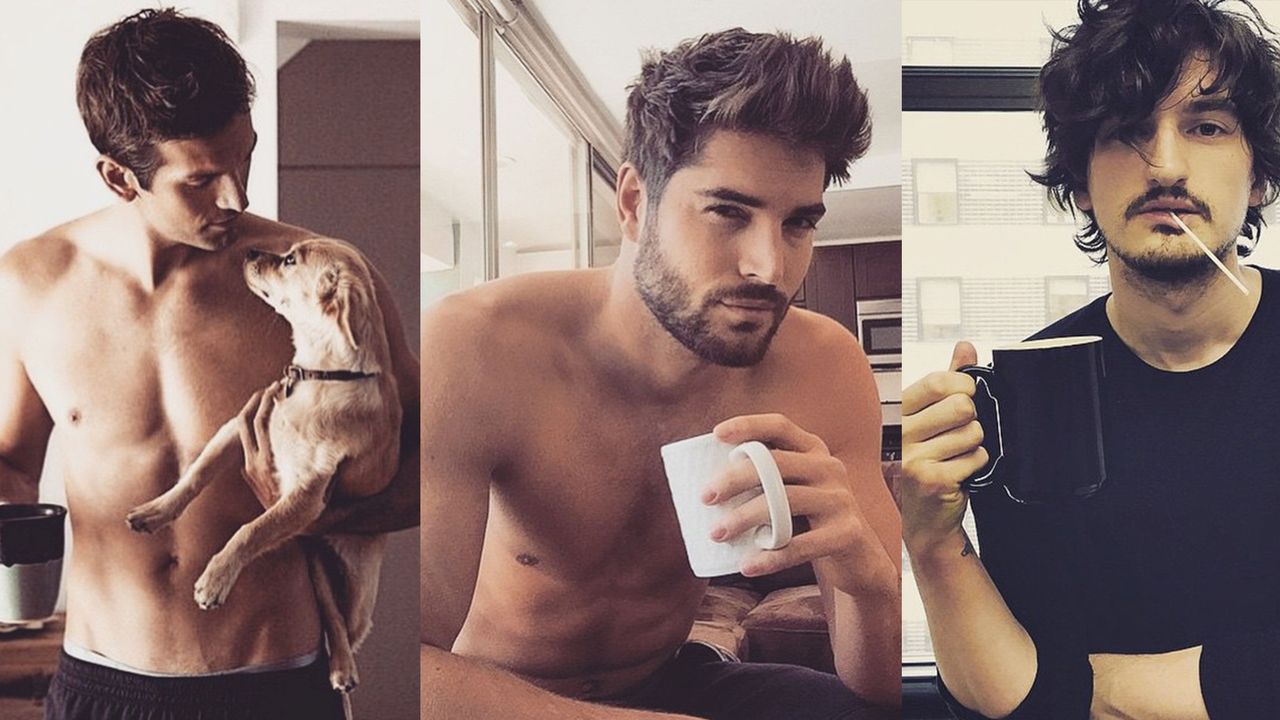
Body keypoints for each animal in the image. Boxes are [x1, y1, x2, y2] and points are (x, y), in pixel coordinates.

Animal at [126, 238, 399, 696]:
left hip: (360, 589)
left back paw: (344, 668)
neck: (319, 377)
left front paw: (215, 579)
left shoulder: (307, 493)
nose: (250, 252)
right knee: (328, 610)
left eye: (290, 260)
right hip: (315, 562)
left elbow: (249, 530)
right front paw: (156, 510)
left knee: (345, 627)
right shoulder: (235, 428)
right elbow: (195, 475)